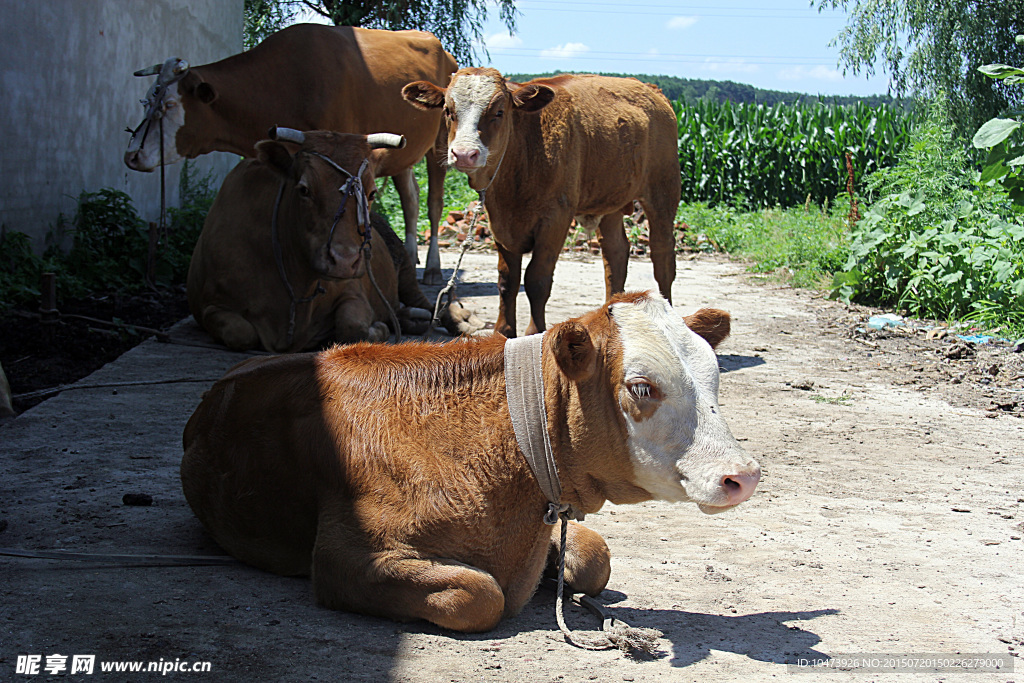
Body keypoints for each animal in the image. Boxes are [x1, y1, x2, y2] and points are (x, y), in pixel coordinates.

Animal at [122, 22, 452, 282]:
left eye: (169, 105)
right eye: (146, 101)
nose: (132, 155)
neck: (285, 82)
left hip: (440, 142)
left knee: (433, 204)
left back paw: (432, 268)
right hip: (402, 153)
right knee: (410, 198)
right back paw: (409, 257)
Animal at [180, 290, 761, 634]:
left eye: (714, 375)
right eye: (641, 387)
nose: (744, 474)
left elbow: (595, 556)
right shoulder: (346, 557)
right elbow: (478, 594)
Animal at [188, 129, 479, 352]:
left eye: (371, 192)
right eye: (304, 189)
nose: (344, 261)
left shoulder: (354, 291)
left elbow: (352, 325)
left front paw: (379, 329)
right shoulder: (208, 305)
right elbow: (239, 332)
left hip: (406, 273)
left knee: (433, 306)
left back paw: (461, 321)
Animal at [403, 68, 684, 335]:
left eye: (499, 112)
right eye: (448, 111)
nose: (463, 154)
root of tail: (650, 89)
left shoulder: (555, 218)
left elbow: (537, 280)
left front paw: (533, 331)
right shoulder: (499, 220)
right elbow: (507, 281)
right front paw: (502, 330)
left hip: (663, 190)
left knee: (662, 258)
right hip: (609, 200)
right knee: (615, 255)